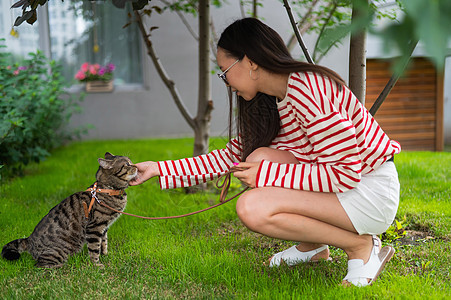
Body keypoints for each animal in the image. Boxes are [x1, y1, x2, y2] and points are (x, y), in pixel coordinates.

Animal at [0, 152, 137, 268]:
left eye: (131, 161)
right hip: (58, 251)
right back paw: (64, 266)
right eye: (127, 164)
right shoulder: (95, 227)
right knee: (40, 265)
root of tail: (29, 239)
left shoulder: (104, 228)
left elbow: (103, 243)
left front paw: (105, 255)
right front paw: (97, 264)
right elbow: (94, 248)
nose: (136, 166)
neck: (108, 189)